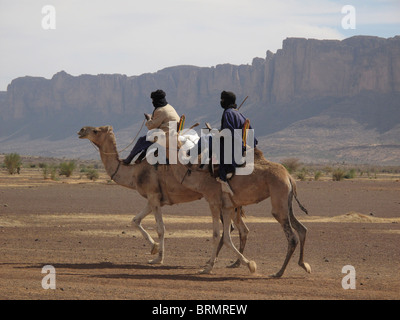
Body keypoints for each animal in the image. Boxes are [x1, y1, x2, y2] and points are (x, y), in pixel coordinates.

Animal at [77, 125, 252, 270]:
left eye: (96, 131)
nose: (81, 130)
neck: (134, 172)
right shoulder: (153, 199)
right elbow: (135, 220)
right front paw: (153, 248)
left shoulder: (153, 196)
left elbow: (160, 229)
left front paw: (158, 258)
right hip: (232, 202)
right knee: (242, 229)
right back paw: (234, 262)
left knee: (232, 228)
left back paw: (216, 261)